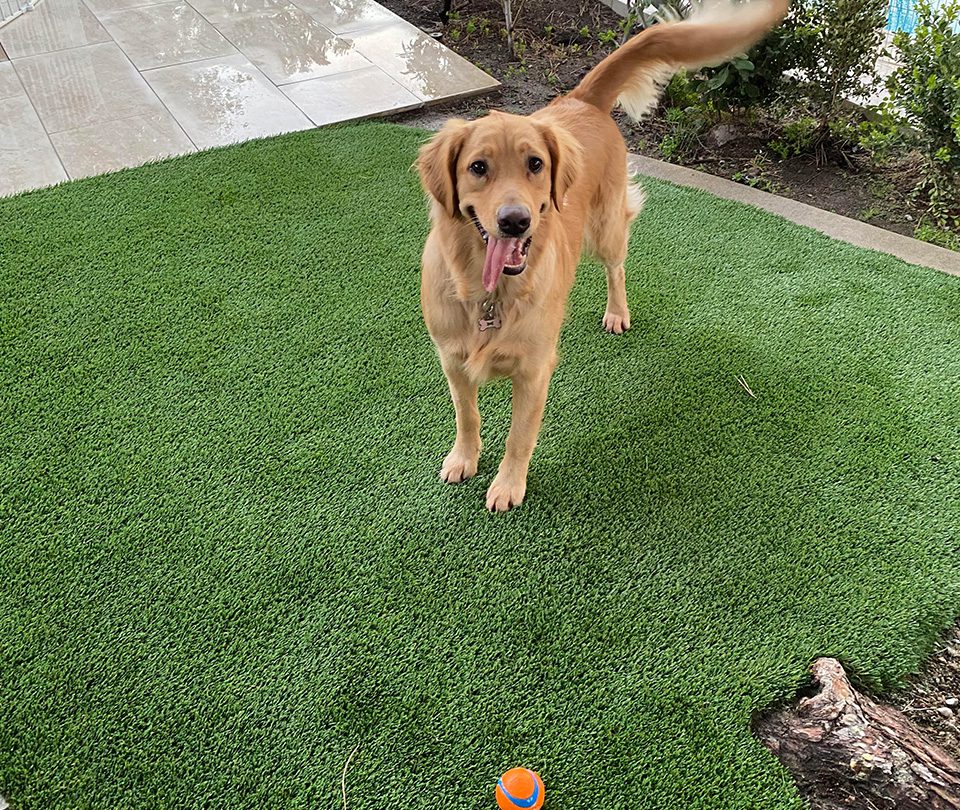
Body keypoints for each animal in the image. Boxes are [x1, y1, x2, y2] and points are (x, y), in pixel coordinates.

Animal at [418, 0, 788, 508]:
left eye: (535, 164)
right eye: (478, 167)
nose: (515, 221)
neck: (488, 294)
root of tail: (581, 99)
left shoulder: (534, 370)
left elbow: (519, 436)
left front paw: (509, 484)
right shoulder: (452, 360)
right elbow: (466, 415)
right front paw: (464, 459)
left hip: (607, 226)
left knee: (617, 268)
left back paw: (617, 312)